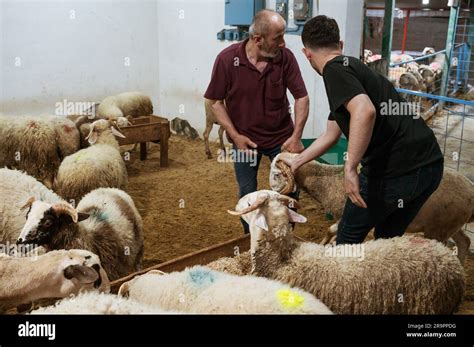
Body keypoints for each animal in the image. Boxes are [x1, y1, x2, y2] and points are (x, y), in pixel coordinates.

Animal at [270, 154, 474, 266]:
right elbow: (330, 230)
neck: (328, 181)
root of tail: (470, 190)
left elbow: (333, 230)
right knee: (465, 241)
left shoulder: (346, 215)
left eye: (277, 174)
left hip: (439, 229)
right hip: (450, 224)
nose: (270, 190)